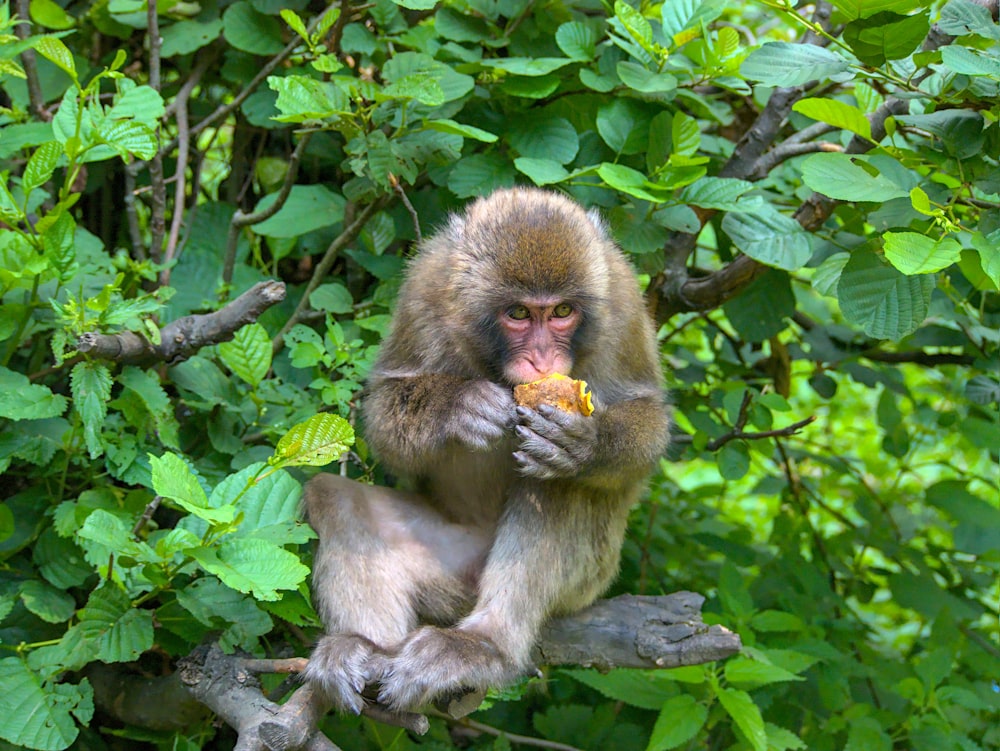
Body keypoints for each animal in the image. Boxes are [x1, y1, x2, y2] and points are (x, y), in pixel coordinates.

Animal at [300, 188, 668, 716]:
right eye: (518, 314)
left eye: (561, 311)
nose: (543, 359)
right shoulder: (427, 287)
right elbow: (385, 411)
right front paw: (461, 408)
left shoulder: (621, 300)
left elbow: (647, 418)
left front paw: (585, 443)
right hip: (445, 566)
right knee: (335, 497)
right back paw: (363, 648)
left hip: (590, 577)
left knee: (552, 482)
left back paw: (485, 645)